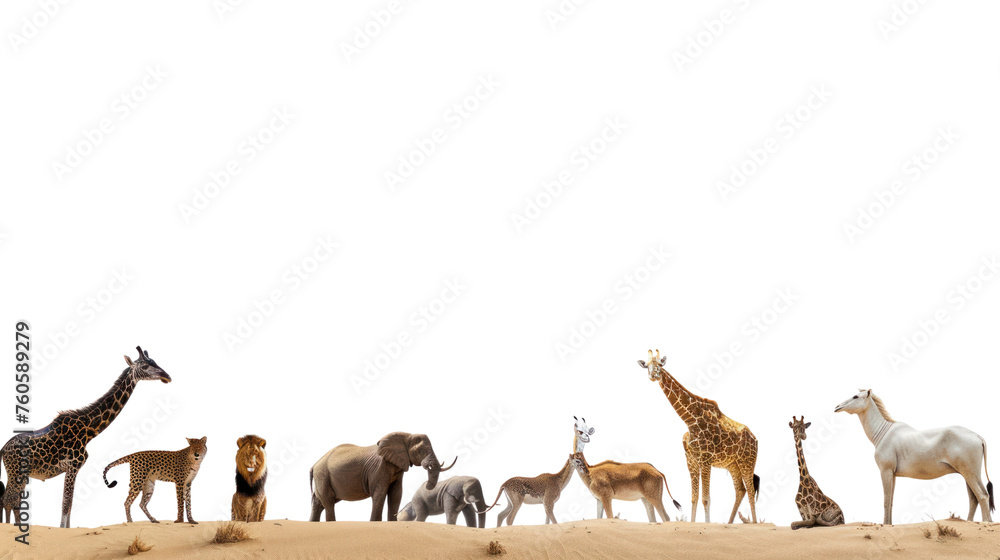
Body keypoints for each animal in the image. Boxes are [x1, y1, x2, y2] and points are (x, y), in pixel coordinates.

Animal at [309, 432, 456, 522]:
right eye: (421, 451)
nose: (427, 485)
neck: (406, 435)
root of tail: (314, 465)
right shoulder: (380, 467)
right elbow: (380, 492)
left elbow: (396, 493)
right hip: (323, 475)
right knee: (328, 501)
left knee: (319, 502)